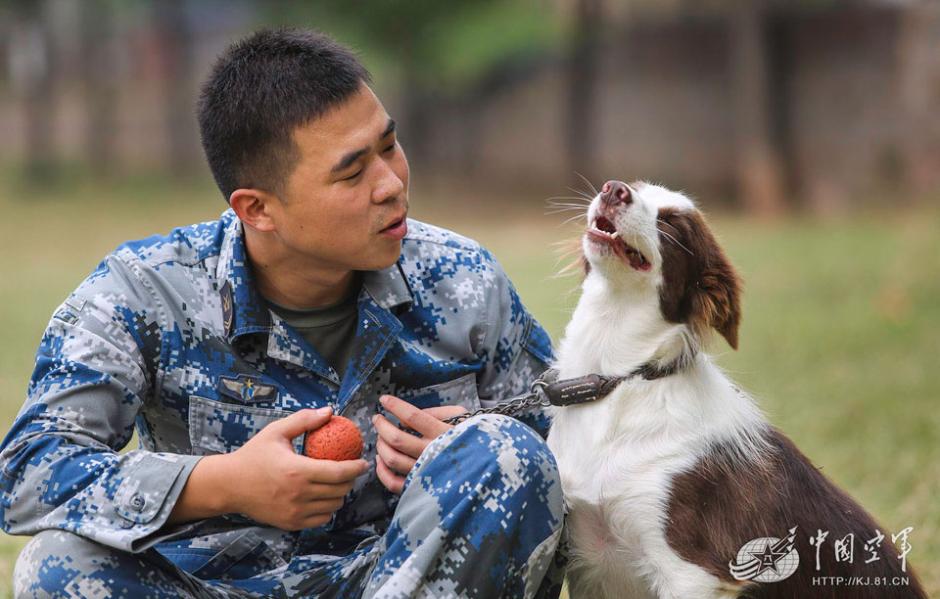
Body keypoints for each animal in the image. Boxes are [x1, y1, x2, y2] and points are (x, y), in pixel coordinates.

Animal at [548, 182, 920, 599]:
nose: (614, 189)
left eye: (673, 224)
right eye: (637, 188)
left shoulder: (691, 572)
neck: (619, 379)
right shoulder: (589, 558)